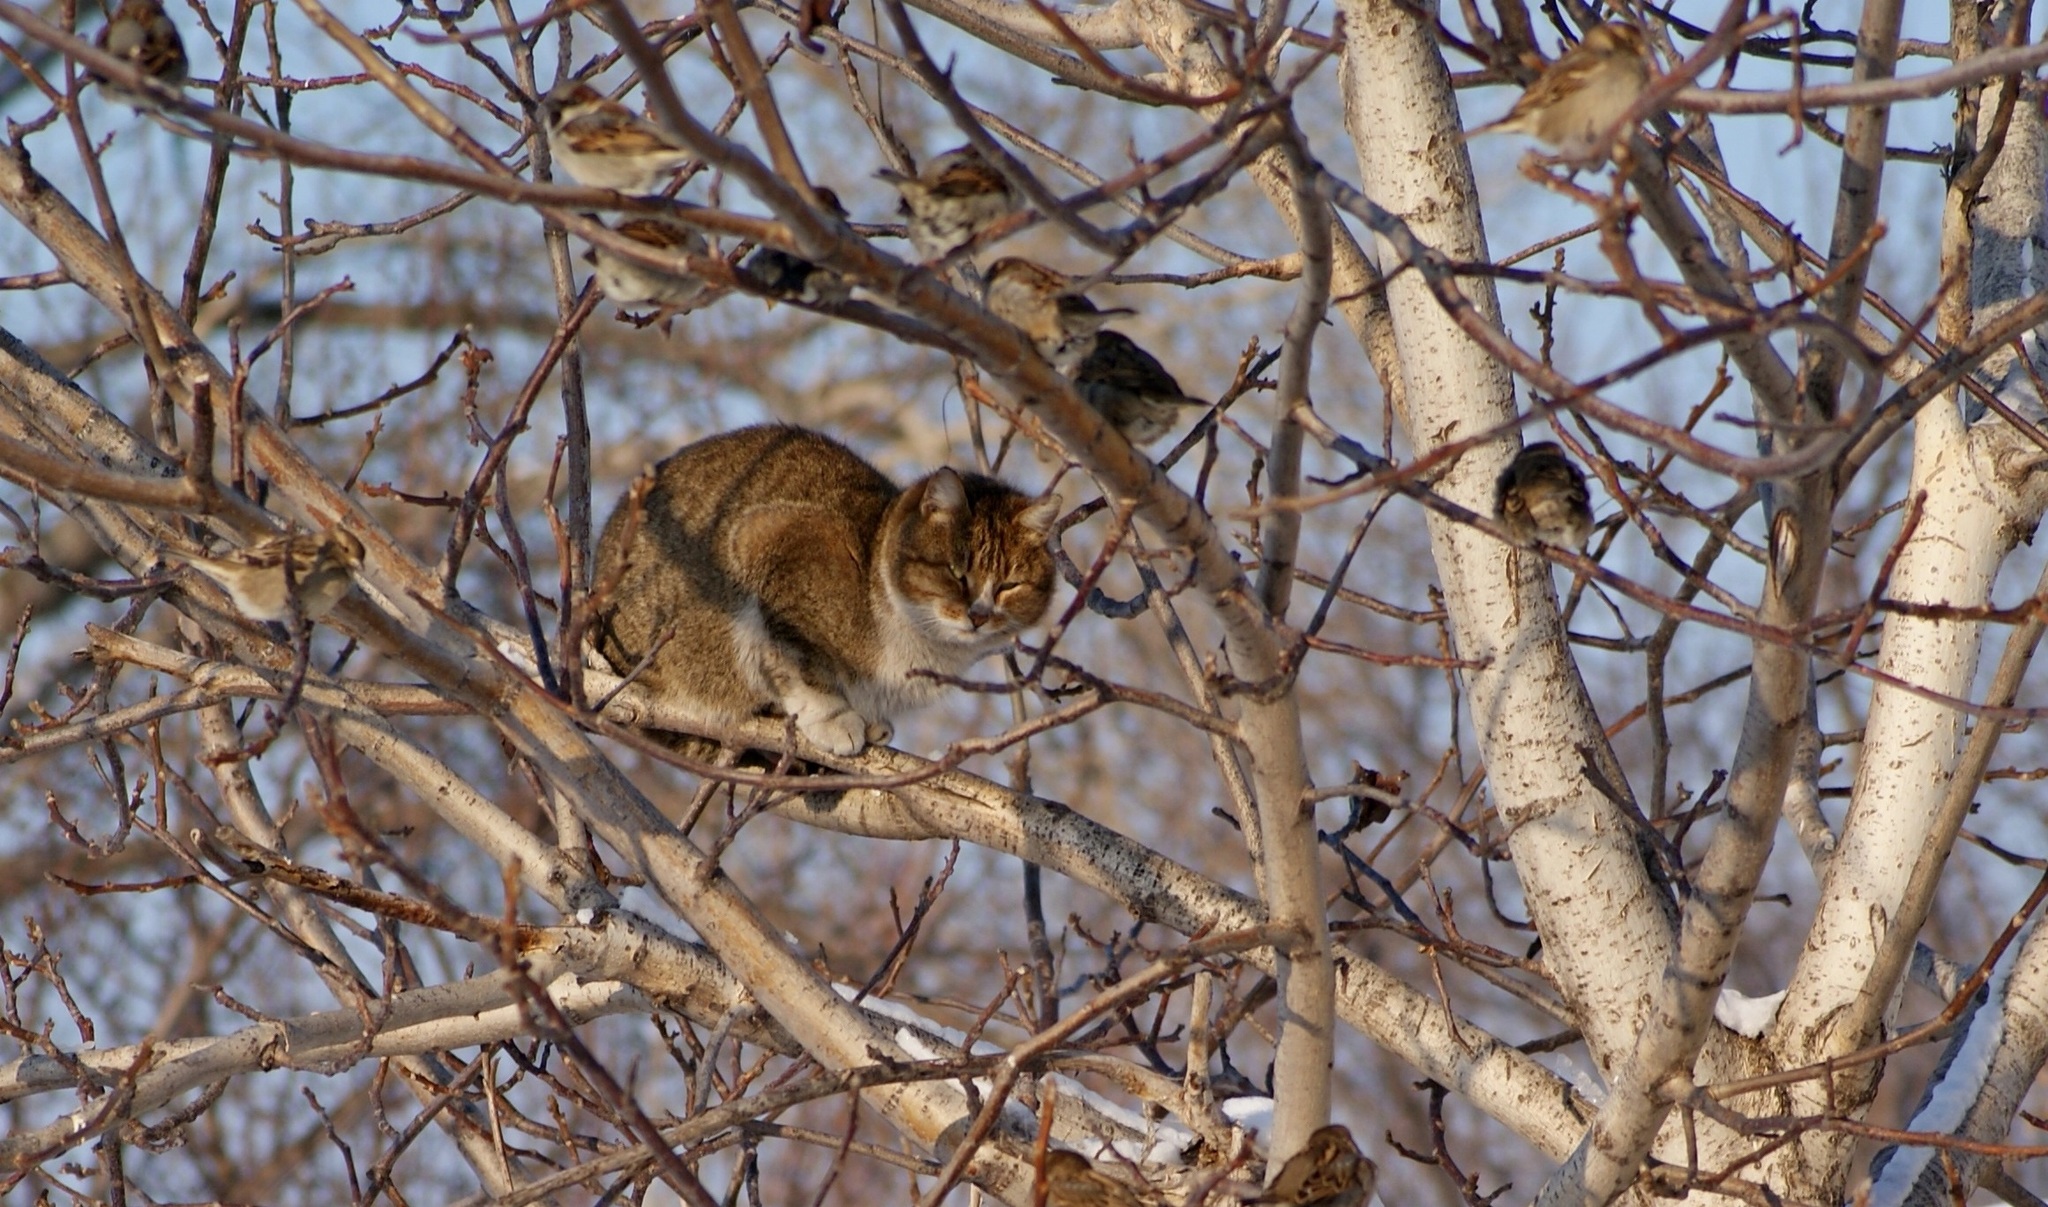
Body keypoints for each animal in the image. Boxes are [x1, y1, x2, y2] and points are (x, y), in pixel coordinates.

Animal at [589, 426, 1056, 754]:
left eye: (1009, 585)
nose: (979, 615)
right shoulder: (774, 542)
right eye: (956, 573)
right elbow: (799, 665)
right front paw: (835, 719)